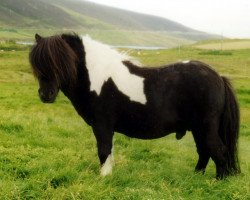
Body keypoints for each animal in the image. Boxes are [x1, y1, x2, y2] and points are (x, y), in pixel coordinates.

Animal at [29, 33, 240, 179]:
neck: (97, 77)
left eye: (61, 62)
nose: (46, 95)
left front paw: (103, 177)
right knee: (204, 152)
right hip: (197, 129)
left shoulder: (102, 125)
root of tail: (218, 77)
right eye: (37, 64)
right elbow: (108, 151)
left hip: (206, 127)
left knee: (218, 151)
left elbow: (104, 150)